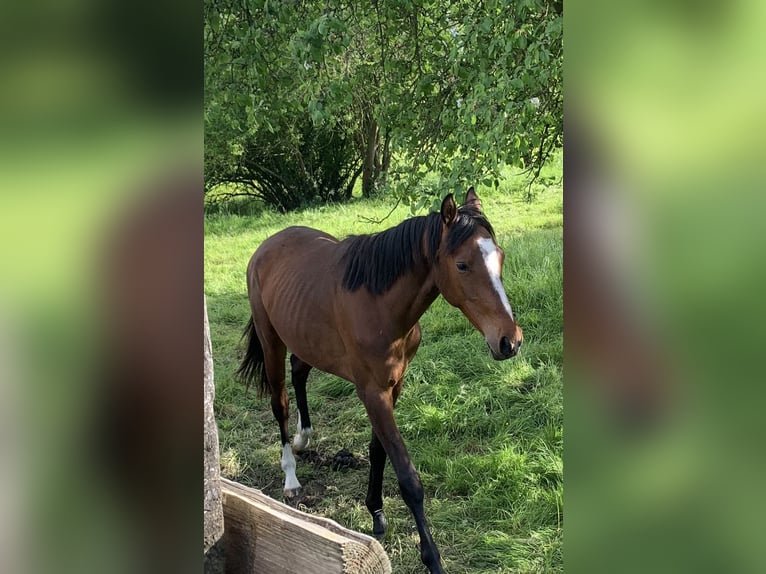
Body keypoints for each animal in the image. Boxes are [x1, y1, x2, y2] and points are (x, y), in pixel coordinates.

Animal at [237, 189, 524, 574]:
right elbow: (407, 477)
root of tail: (268, 244)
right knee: (279, 402)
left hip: (304, 338)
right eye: (463, 265)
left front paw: (376, 512)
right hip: (271, 342)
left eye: (500, 257)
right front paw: (432, 559)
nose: (510, 341)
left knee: (299, 372)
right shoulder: (372, 392)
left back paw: (304, 437)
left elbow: (377, 451)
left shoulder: (393, 385)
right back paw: (291, 477)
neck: (379, 304)